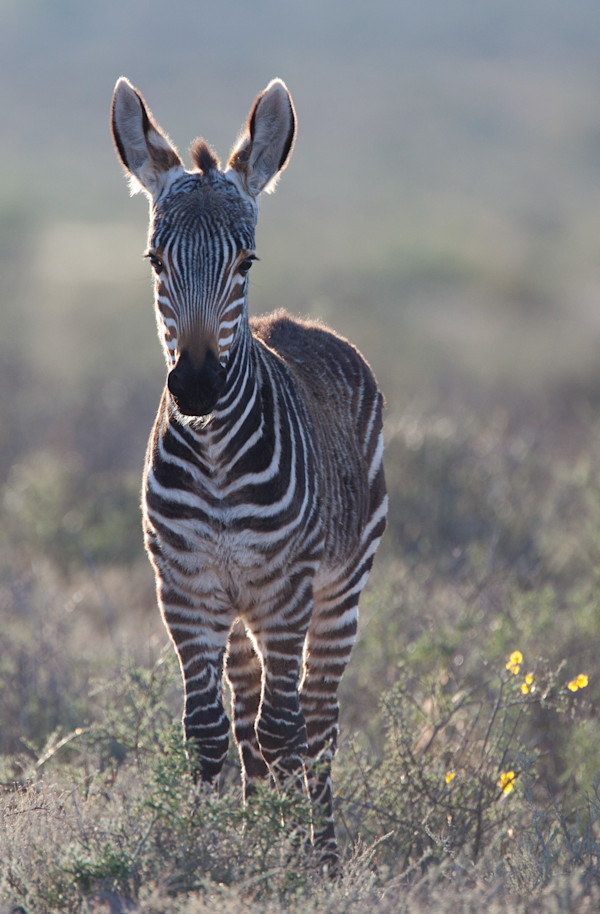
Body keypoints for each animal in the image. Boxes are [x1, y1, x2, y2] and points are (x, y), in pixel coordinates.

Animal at [110, 76, 387, 866]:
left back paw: (323, 849)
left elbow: (285, 730)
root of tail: (294, 322)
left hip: (337, 591)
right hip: (237, 613)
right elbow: (208, 734)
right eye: (156, 261)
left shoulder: (285, 590)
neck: (214, 460)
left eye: (245, 264)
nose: (198, 388)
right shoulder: (185, 588)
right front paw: (210, 851)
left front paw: (295, 861)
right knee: (247, 720)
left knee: (315, 722)